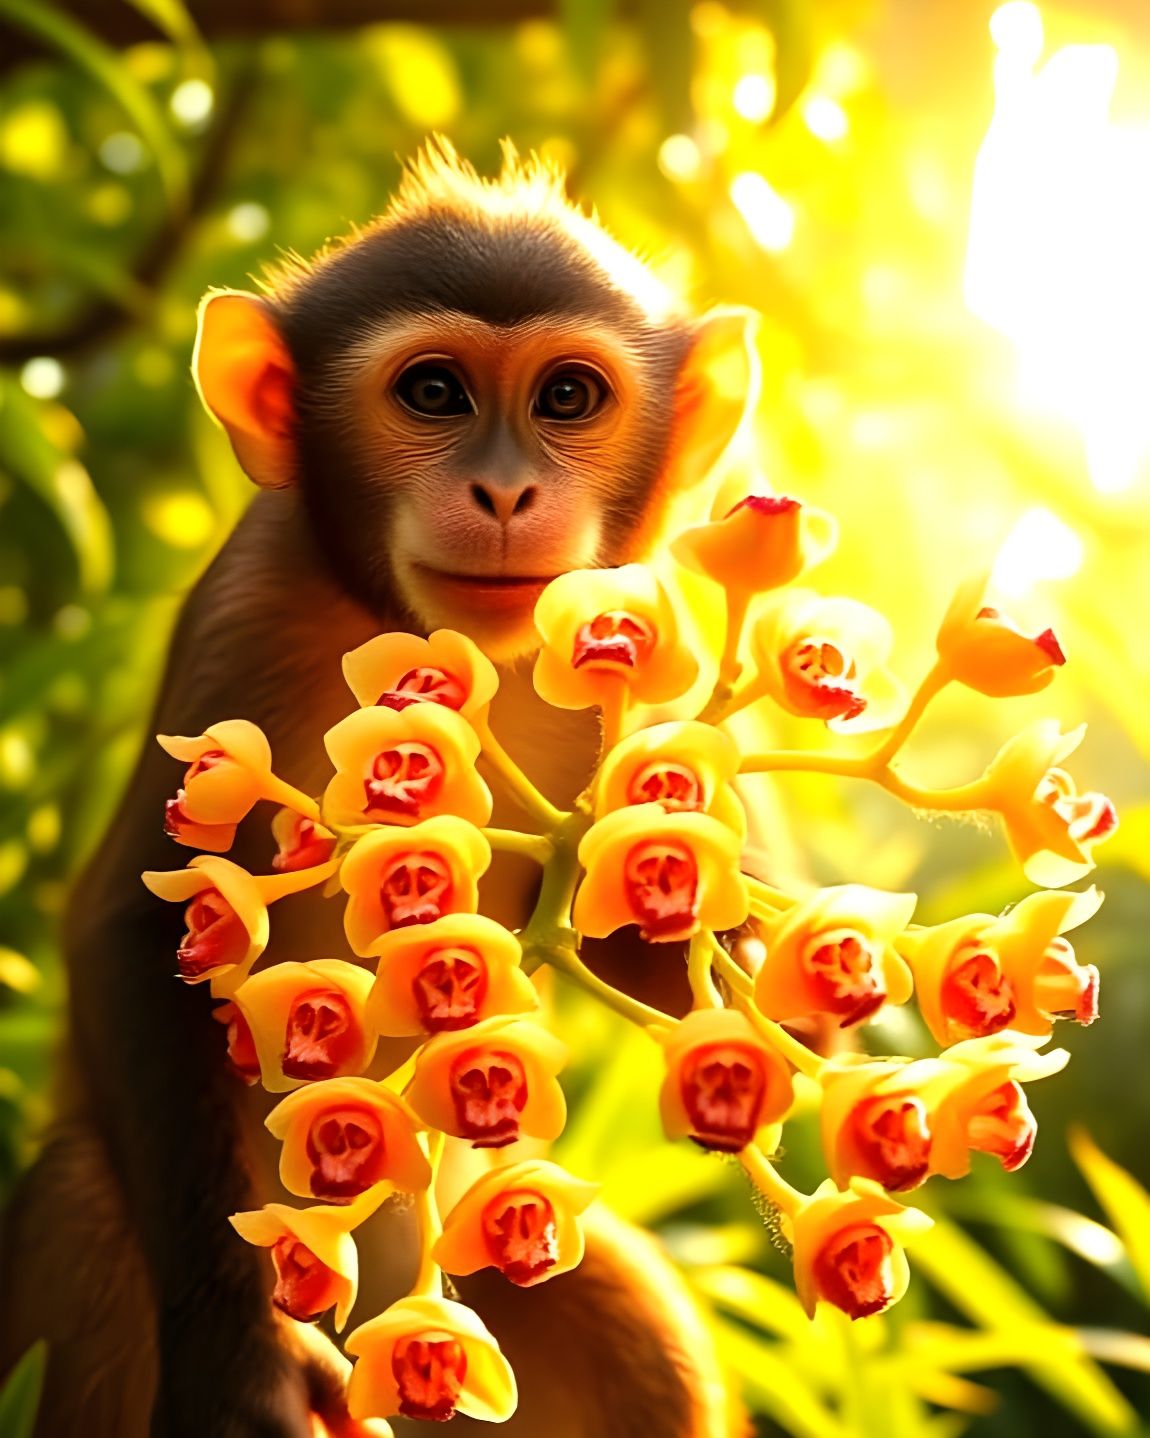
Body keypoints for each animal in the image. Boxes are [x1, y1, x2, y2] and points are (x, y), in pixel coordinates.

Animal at [0, 140, 757, 1438]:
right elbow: (131, 930)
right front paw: (241, 1365)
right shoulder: (243, 609)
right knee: (85, 1209)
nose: (504, 493)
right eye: (435, 393)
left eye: (567, 398)